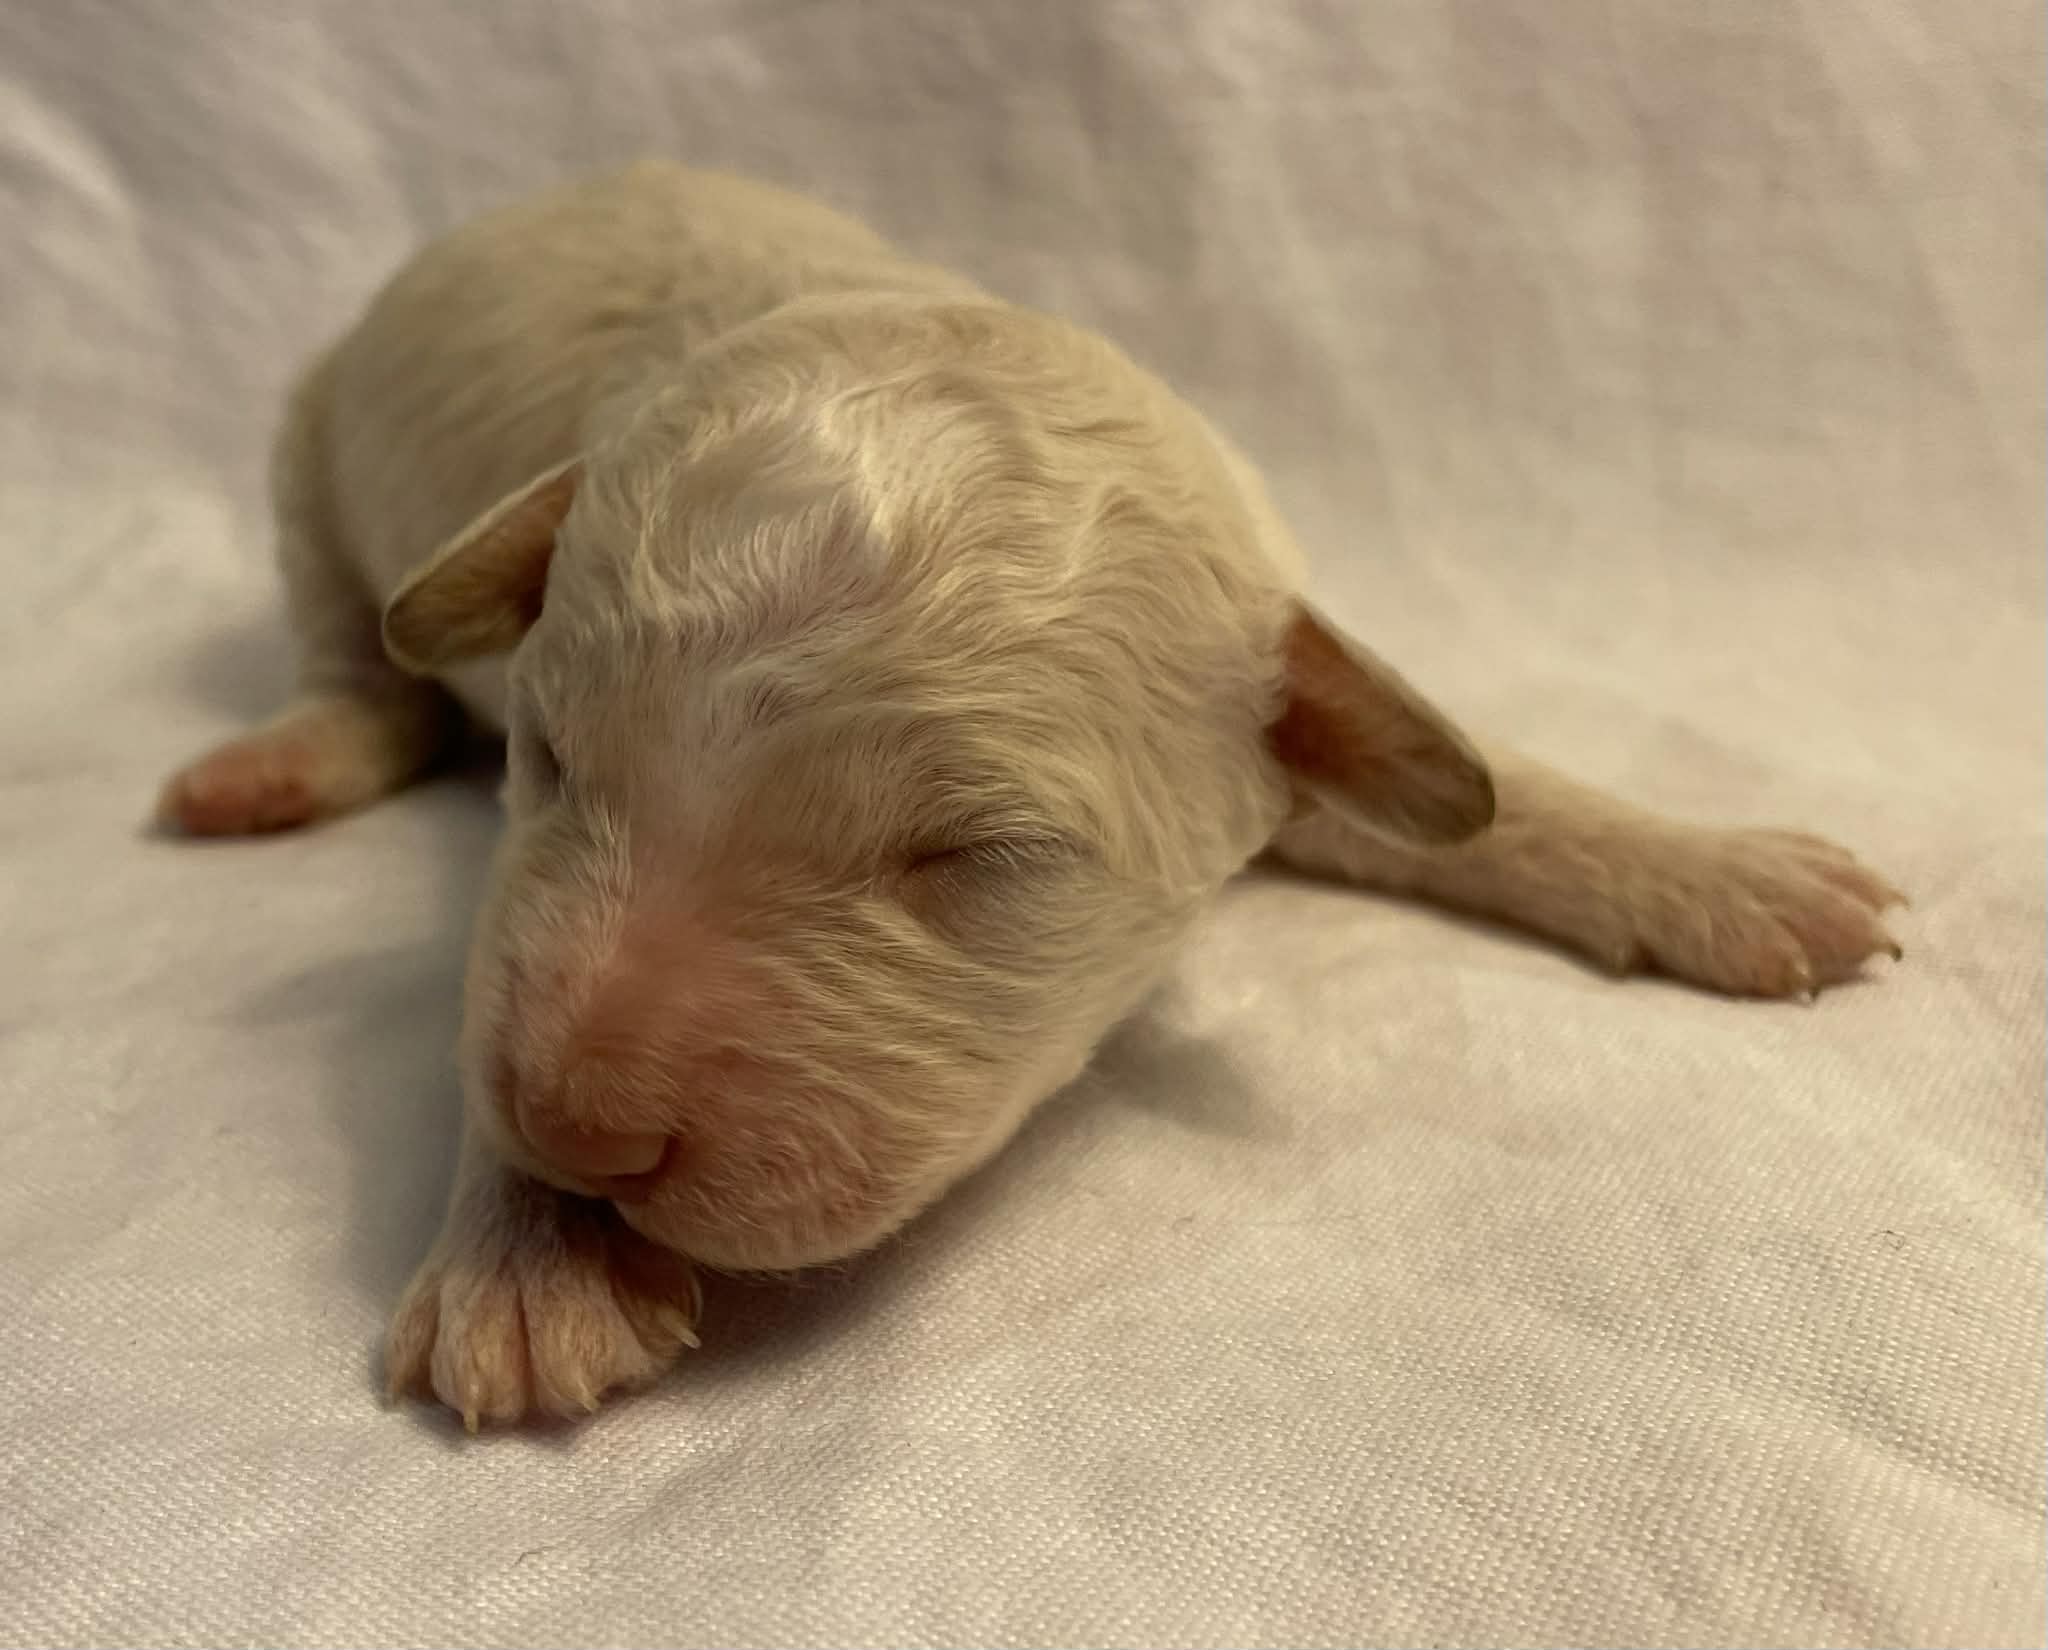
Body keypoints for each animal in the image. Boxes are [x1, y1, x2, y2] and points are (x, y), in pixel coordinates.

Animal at [159, 162, 1904, 1427]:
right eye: (553, 759)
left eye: (976, 852)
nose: (582, 1128)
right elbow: (493, 961)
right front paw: (526, 1263)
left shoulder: (1281, 692)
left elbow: (1474, 776)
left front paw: (1726, 870)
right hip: (307, 439)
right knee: (352, 653)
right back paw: (273, 762)